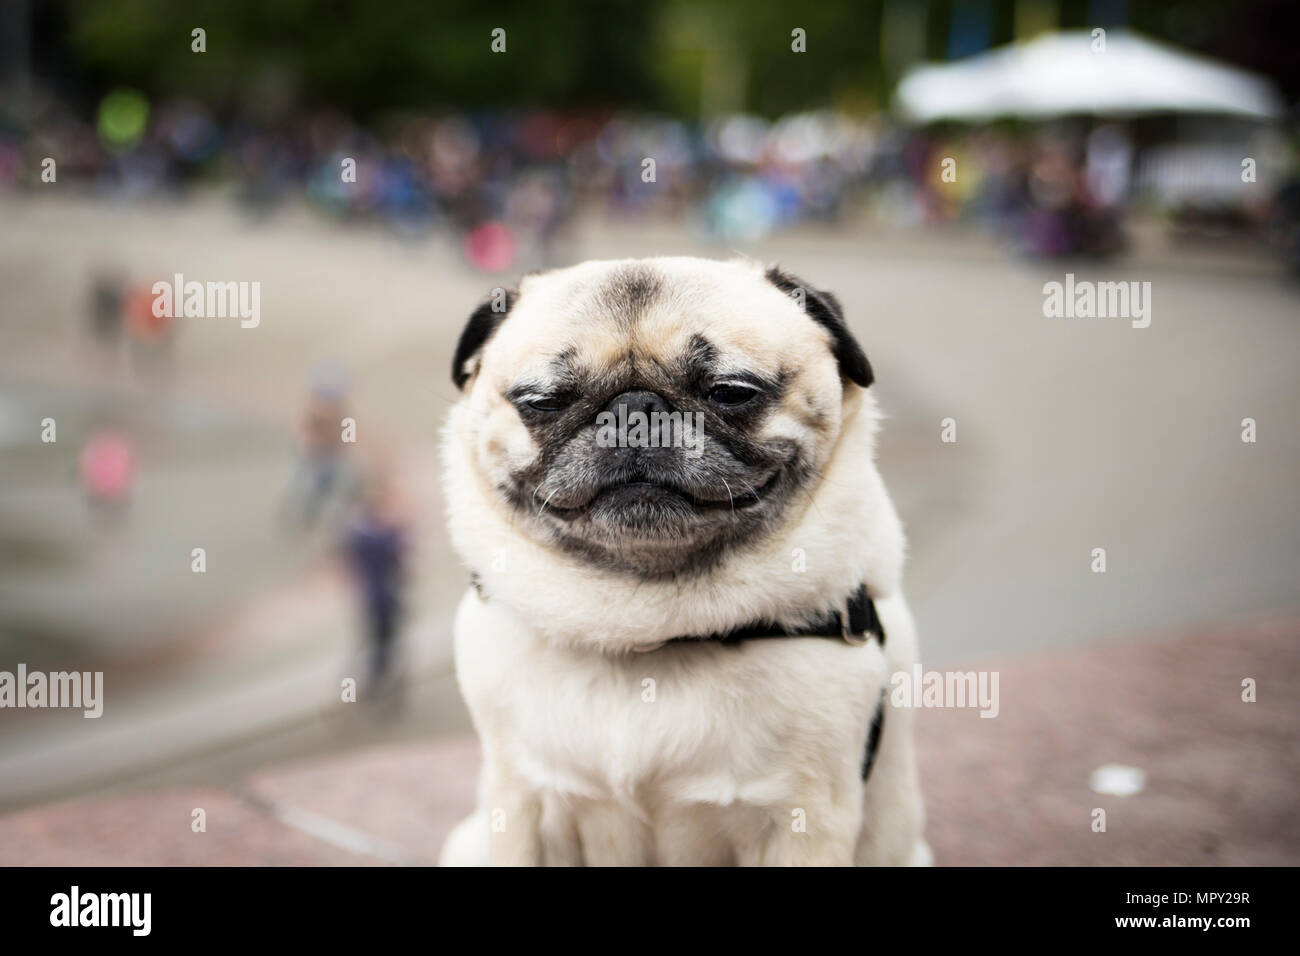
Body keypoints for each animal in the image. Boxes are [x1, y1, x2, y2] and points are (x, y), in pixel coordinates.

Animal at [441, 256, 930, 868]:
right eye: (543, 402)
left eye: (730, 392)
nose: (634, 410)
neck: (652, 633)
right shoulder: (524, 804)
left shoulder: (804, 822)